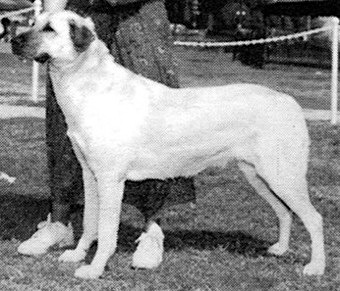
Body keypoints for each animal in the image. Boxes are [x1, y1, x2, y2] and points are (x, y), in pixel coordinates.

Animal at [11, 12, 326, 280]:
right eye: (34, 22)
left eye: (49, 29)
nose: (13, 40)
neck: (88, 85)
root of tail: (288, 100)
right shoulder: (90, 175)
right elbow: (90, 222)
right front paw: (77, 255)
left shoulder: (111, 179)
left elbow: (107, 231)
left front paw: (95, 269)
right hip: (258, 175)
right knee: (284, 212)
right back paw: (280, 249)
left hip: (282, 176)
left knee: (314, 218)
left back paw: (316, 267)